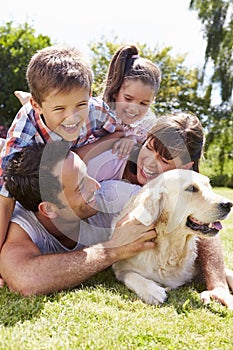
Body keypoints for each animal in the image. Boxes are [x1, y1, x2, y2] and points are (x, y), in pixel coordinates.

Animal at [112, 169, 232, 304]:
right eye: (191, 188)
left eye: (209, 186)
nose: (228, 204)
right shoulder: (120, 266)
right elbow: (131, 275)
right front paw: (152, 291)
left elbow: (226, 272)